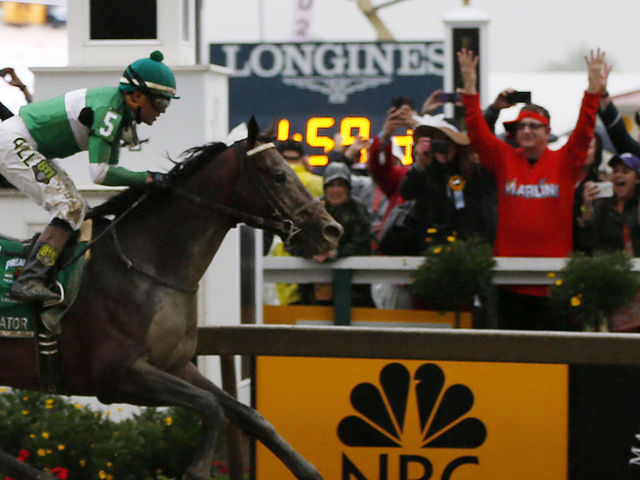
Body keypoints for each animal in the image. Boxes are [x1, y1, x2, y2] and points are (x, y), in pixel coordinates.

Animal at [0, 117, 342, 480]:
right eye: (279, 175)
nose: (331, 230)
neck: (147, 267)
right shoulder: (117, 376)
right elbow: (210, 406)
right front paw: (196, 471)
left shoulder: (176, 365)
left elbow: (249, 415)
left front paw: (308, 470)